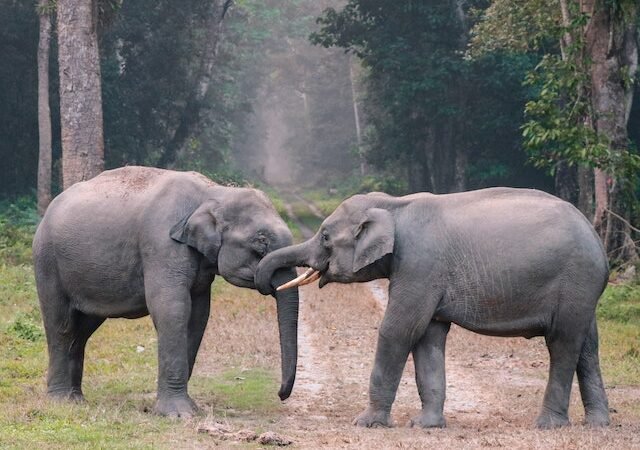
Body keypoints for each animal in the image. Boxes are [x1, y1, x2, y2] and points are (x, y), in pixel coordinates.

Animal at [35, 166, 302, 418]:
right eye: (261, 242)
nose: (281, 395)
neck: (213, 192)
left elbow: (198, 315)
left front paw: (192, 409)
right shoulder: (161, 245)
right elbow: (172, 309)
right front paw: (178, 414)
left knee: (82, 331)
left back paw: (76, 399)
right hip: (48, 262)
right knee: (61, 326)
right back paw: (61, 401)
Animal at [256, 186, 608, 428]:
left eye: (325, 237)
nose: (281, 396)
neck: (394, 205)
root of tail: (599, 243)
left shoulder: (419, 266)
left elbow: (399, 330)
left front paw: (366, 424)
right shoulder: (426, 276)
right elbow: (428, 336)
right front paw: (425, 426)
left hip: (576, 280)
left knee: (562, 343)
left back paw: (548, 425)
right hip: (583, 290)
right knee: (587, 346)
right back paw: (597, 424)